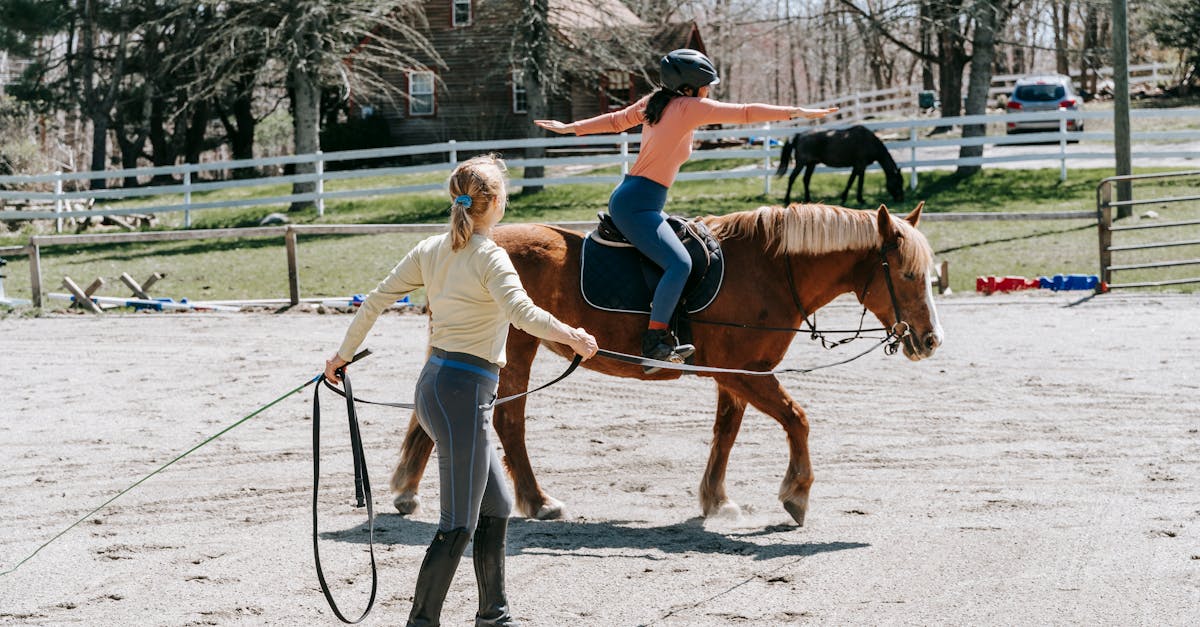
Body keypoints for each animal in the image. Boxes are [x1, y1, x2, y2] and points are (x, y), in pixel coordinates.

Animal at [389, 202, 942, 526]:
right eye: (908, 274)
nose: (930, 340)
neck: (765, 269)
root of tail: (465, 246)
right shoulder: (747, 374)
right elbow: (797, 419)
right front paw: (796, 494)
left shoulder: (737, 377)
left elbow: (726, 433)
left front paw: (715, 499)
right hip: (514, 349)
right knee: (507, 420)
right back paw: (538, 500)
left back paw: (409, 492)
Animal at [776, 125, 906, 207]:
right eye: (898, 182)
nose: (901, 199)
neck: (869, 141)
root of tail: (799, 135)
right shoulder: (860, 165)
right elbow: (858, 182)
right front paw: (860, 199)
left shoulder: (857, 166)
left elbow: (852, 181)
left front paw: (845, 197)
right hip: (801, 164)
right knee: (792, 178)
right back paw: (787, 200)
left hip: (811, 164)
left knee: (806, 180)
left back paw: (808, 199)